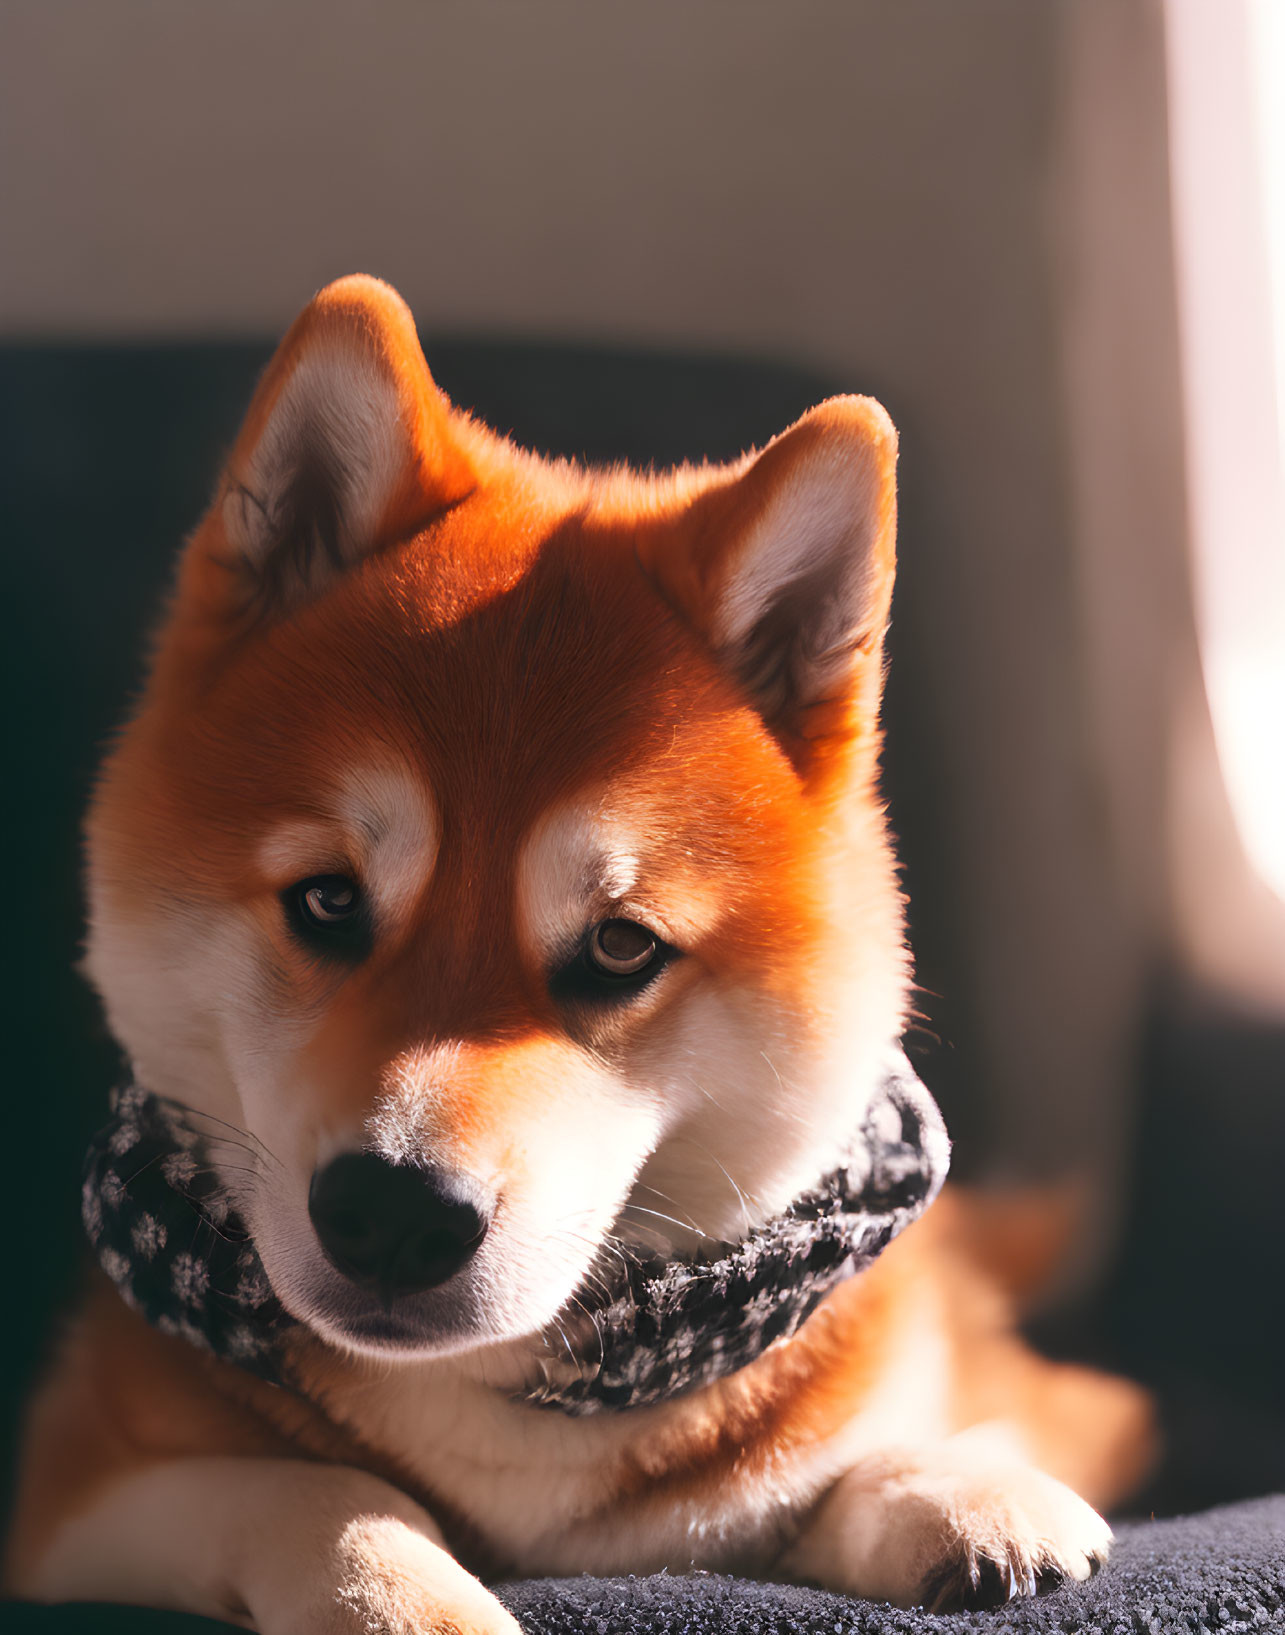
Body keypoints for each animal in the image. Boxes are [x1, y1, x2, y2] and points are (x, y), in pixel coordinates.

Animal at [5, 274, 1150, 1628]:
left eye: (617, 946)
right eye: (329, 901)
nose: (392, 1216)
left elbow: (879, 1442)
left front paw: (948, 1484)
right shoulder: (67, 1493)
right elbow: (303, 1490)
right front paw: (393, 1591)